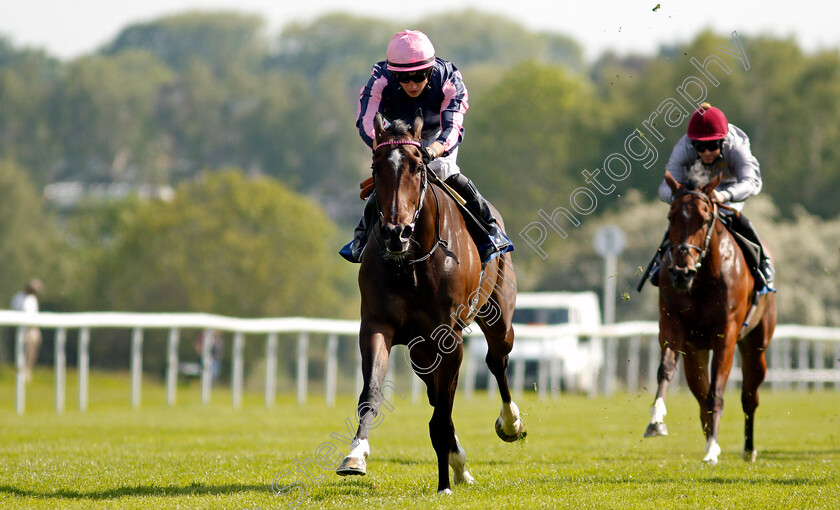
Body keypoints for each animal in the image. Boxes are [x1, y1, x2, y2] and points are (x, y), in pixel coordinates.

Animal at [336, 112, 524, 494]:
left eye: (418, 166)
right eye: (376, 167)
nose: (396, 232)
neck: (411, 262)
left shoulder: (449, 337)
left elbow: (442, 415)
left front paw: (444, 484)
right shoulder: (377, 325)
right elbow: (372, 393)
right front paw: (356, 455)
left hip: (498, 317)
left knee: (497, 361)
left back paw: (510, 423)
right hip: (420, 351)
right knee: (437, 393)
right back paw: (458, 462)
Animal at [648, 169, 776, 464]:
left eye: (705, 219)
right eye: (671, 217)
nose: (681, 271)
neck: (702, 280)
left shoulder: (725, 335)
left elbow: (717, 391)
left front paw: (713, 449)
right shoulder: (672, 324)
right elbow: (666, 370)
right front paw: (656, 421)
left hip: (756, 344)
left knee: (749, 395)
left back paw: (748, 449)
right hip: (695, 352)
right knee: (699, 394)